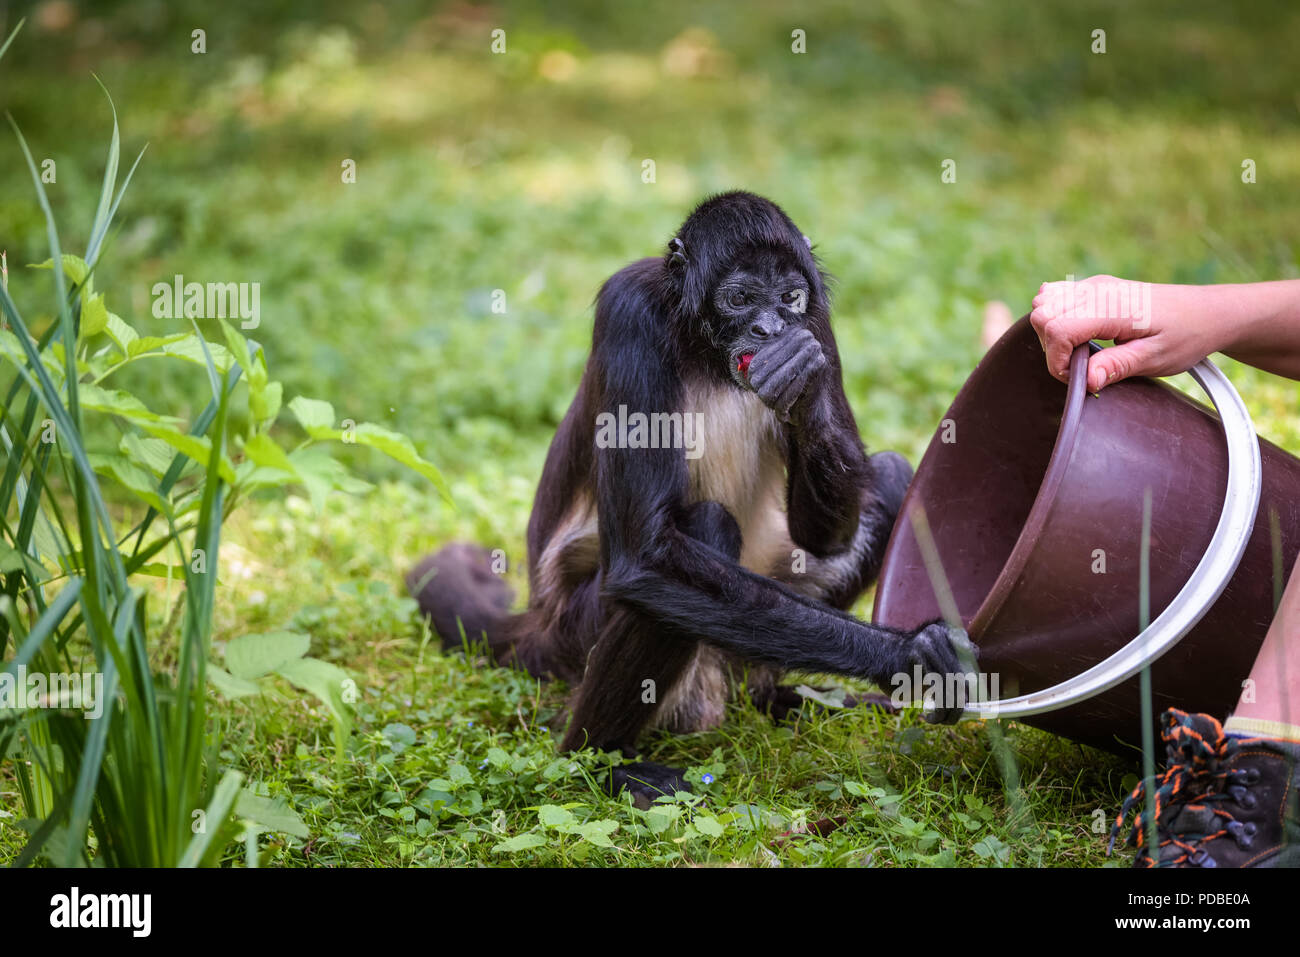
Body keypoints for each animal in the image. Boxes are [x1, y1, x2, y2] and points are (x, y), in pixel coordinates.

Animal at [410, 191, 972, 806]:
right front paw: (909, 656)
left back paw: (777, 698)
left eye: (790, 298)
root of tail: (540, 619)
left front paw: (806, 385)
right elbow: (644, 560)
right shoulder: (628, 311)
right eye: (740, 298)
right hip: (576, 631)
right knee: (702, 529)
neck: (707, 352)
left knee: (890, 474)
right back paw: (599, 762)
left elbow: (825, 536)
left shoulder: (816, 325)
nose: (771, 328)